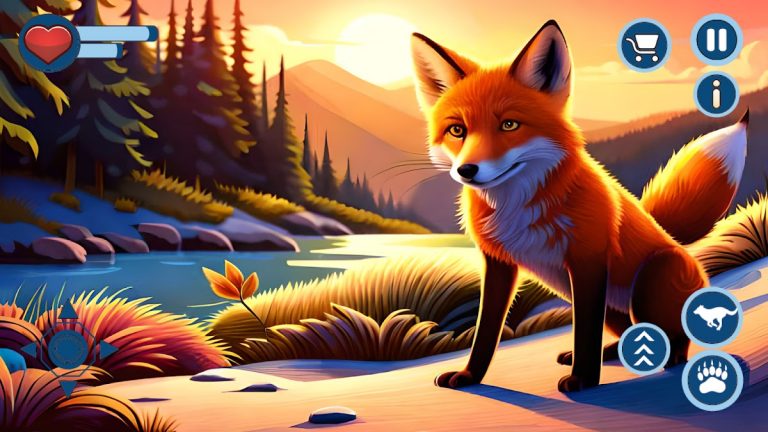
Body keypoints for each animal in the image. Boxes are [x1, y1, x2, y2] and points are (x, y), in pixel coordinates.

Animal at [410, 20, 749, 392]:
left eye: (509, 124)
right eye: (457, 130)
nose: (467, 170)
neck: (516, 207)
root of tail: (677, 243)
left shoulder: (588, 261)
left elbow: (585, 331)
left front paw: (584, 379)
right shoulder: (498, 264)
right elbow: (485, 332)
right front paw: (470, 376)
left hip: (647, 284)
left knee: (674, 335)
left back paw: (670, 360)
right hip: (601, 301)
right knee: (632, 333)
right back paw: (617, 353)